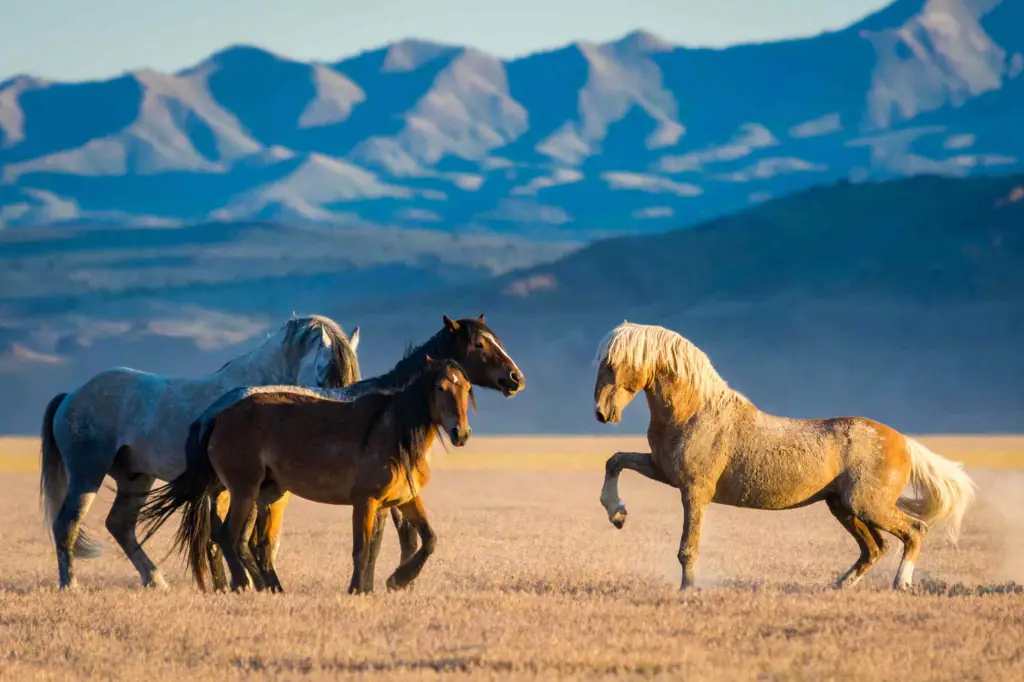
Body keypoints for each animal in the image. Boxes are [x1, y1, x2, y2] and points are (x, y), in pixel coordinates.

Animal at [141, 358, 475, 593]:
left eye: (467, 388)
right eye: (440, 388)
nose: (461, 433)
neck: (393, 431)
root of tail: (219, 416)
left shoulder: (403, 499)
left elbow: (428, 539)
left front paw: (397, 580)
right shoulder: (365, 502)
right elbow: (362, 549)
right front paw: (359, 590)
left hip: (266, 494)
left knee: (249, 543)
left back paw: (271, 587)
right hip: (243, 491)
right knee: (228, 536)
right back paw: (244, 584)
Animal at [593, 321, 974, 585]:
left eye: (613, 364)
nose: (602, 413)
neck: (695, 413)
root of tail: (904, 441)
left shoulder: (695, 490)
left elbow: (688, 548)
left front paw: (687, 590)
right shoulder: (662, 470)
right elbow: (615, 460)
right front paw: (617, 515)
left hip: (867, 505)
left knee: (913, 531)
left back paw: (902, 583)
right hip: (843, 507)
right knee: (874, 548)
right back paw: (839, 586)